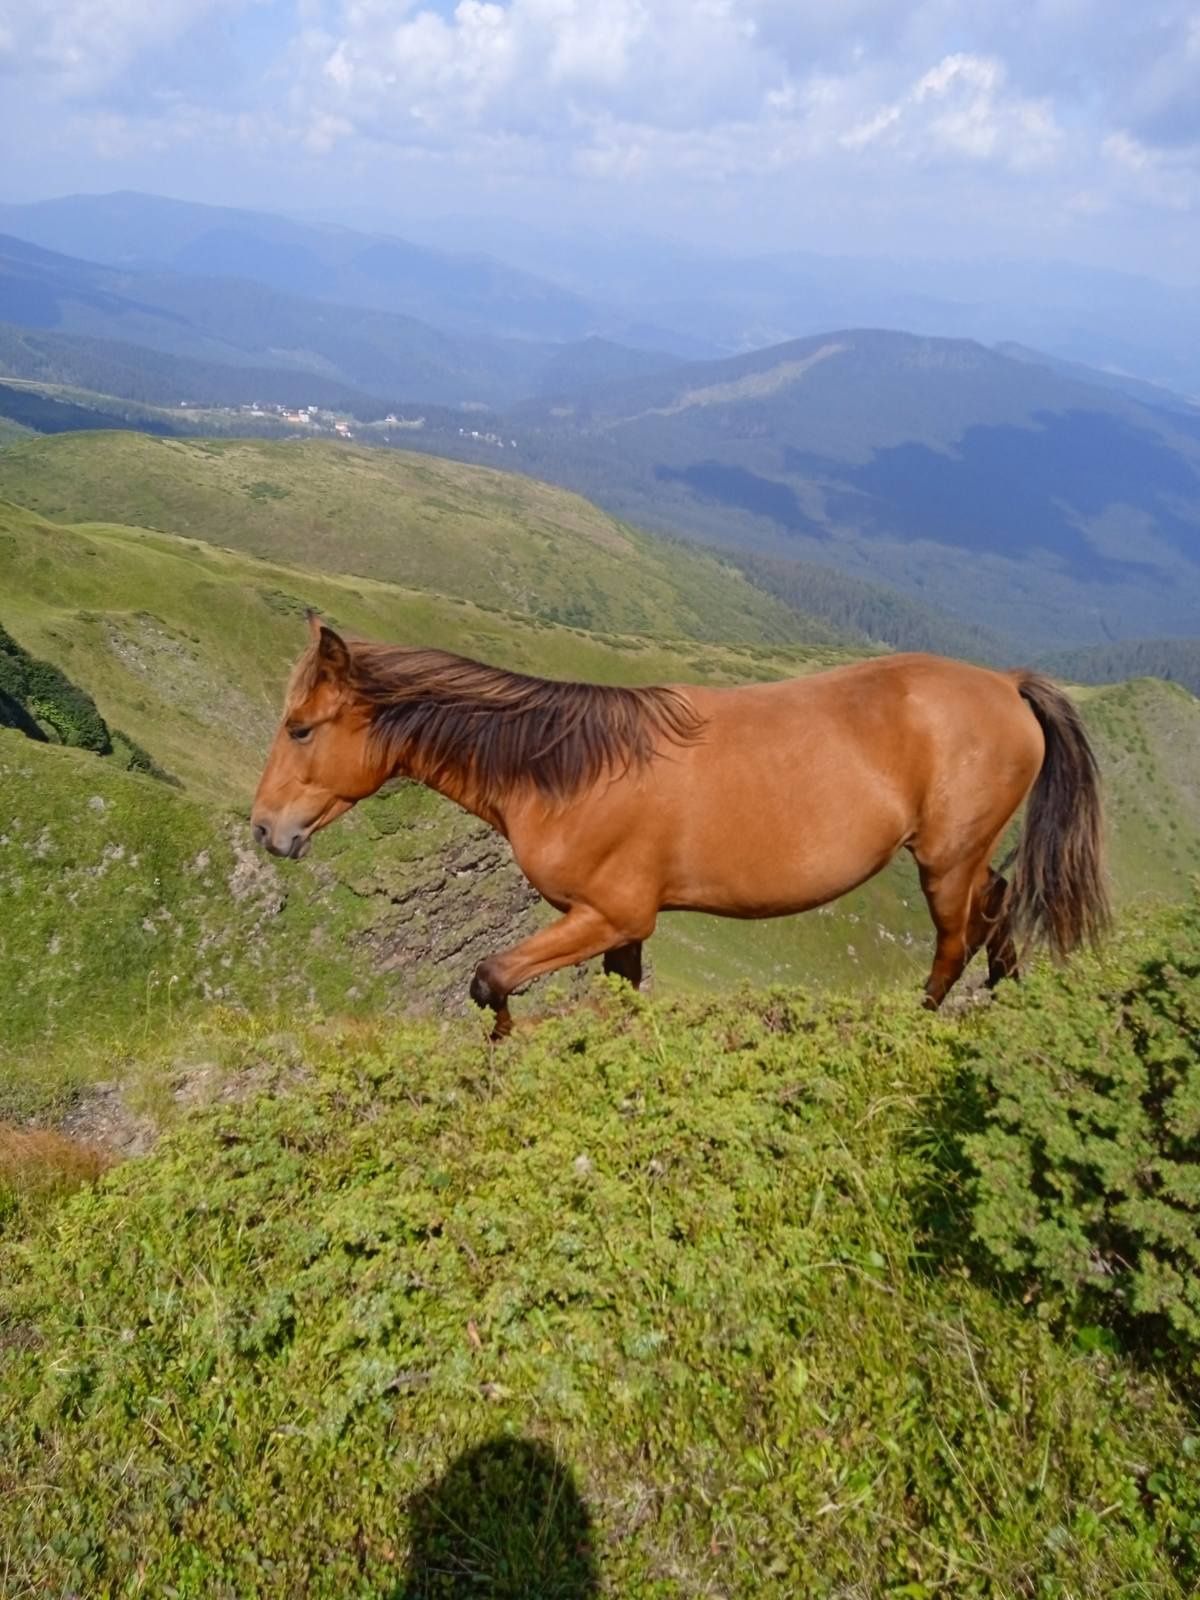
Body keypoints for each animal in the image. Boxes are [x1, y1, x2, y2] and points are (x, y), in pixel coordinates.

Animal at [251, 611, 1107, 1036]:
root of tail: (1004, 684)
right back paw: (1007, 990)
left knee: (956, 938)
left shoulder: (610, 913)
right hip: (963, 853)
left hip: (942, 860)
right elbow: (619, 996)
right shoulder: (616, 923)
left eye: (300, 728)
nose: (264, 830)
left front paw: (506, 1040)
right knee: (997, 904)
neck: (567, 770)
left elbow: (490, 977)